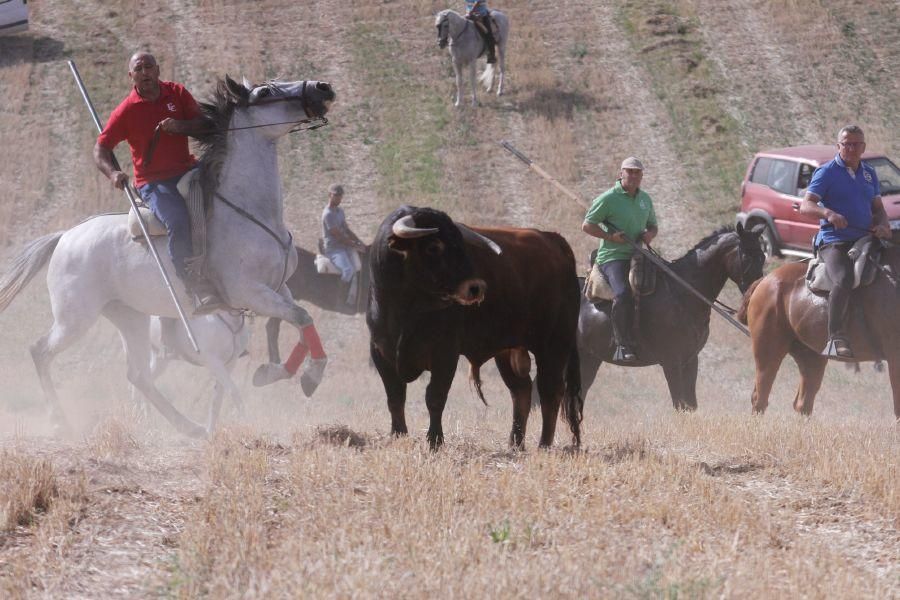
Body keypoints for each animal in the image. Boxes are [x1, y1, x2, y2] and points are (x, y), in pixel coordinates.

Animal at [0, 77, 334, 438]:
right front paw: (310, 375)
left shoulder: (277, 288)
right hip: (75, 318)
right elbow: (301, 317)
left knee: (138, 376)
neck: (249, 211)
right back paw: (59, 420)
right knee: (41, 351)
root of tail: (65, 236)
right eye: (266, 92)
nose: (322, 87)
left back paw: (190, 428)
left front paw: (280, 373)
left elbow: (301, 323)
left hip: (129, 316)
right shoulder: (249, 292)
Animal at [366, 205, 584, 446]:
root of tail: (553, 239)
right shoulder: (380, 352)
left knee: (550, 391)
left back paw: (544, 444)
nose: (476, 287)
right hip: (508, 350)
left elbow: (435, 397)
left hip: (554, 344)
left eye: (461, 244)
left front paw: (435, 440)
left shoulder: (445, 354)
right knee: (521, 391)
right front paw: (398, 435)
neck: (404, 309)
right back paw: (515, 444)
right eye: (434, 246)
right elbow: (395, 397)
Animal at [740, 244, 900, 418]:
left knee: (803, 404)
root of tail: (766, 279)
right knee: (760, 397)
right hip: (769, 351)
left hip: (811, 356)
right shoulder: (895, 357)